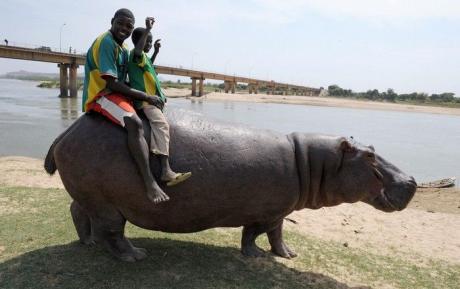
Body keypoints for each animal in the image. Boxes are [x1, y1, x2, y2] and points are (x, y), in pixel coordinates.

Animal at [45, 108, 416, 260]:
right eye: (370, 156)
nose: (412, 179)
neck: (310, 160)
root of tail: (66, 131)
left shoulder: (279, 211)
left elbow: (278, 234)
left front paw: (288, 255)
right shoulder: (265, 212)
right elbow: (253, 234)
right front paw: (254, 256)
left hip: (93, 196)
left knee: (79, 211)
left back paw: (89, 243)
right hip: (108, 205)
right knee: (113, 232)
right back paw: (135, 256)